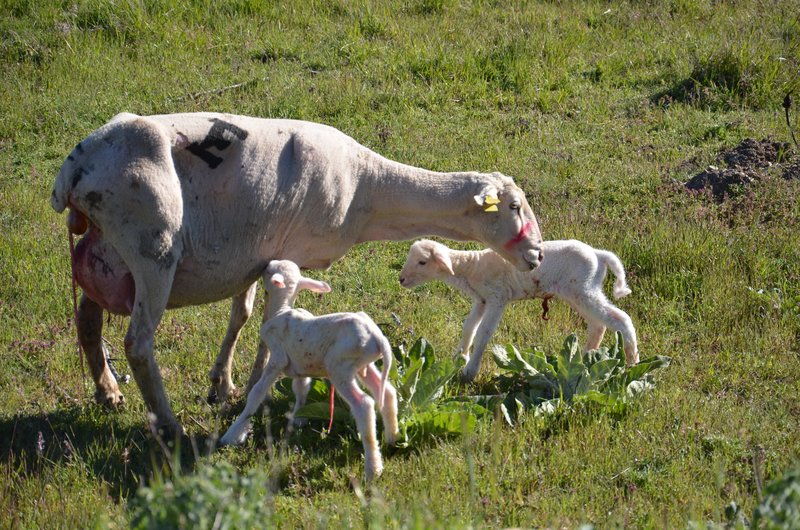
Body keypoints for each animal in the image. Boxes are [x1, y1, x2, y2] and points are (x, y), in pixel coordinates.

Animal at [53, 111, 548, 434]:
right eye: (514, 207)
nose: (539, 255)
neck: (368, 190)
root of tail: (76, 167)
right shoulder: (286, 254)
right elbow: (265, 322)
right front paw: (253, 388)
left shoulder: (258, 253)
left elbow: (242, 315)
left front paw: (224, 384)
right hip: (152, 250)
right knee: (138, 344)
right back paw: (170, 426)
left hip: (106, 253)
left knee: (88, 320)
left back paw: (107, 392)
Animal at [220, 258, 398, 480]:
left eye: (269, 271)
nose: (268, 262)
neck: (281, 309)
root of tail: (379, 338)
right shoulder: (301, 366)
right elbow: (301, 390)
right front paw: (298, 418)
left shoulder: (277, 357)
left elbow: (256, 393)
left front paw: (233, 434)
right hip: (363, 364)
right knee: (388, 391)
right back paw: (392, 438)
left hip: (339, 366)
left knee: (364, 404)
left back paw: (373, 469)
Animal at [404, 238, 640, 380]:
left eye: (422, 262)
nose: (401, 279)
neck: (471, 267)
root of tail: (599, 255)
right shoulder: (481, 300)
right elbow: (468, 328)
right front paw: (459, 358)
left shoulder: (497, 298)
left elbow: (483, 333)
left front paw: (469, 371)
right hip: (579, 292)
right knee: (598, 324)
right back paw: (585, 359)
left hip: (583, 289)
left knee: (621, 319)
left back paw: (632, 364)